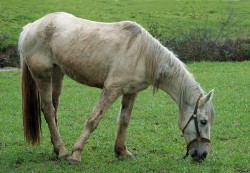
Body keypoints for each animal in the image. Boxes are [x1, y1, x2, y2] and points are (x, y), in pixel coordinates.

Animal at [19, 12, 215, 164]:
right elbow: (93, 120)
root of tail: (30, 27)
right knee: (48, 110)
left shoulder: (131, 92)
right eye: (203, 121)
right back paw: (63, 151)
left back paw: (56, 147)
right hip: (43, 76)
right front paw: (76, 154)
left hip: (57, 74)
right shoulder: (111, 89)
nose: (203, 154)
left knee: (54, 108)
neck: (143, 55)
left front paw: (122, 151)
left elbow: (124, 120)